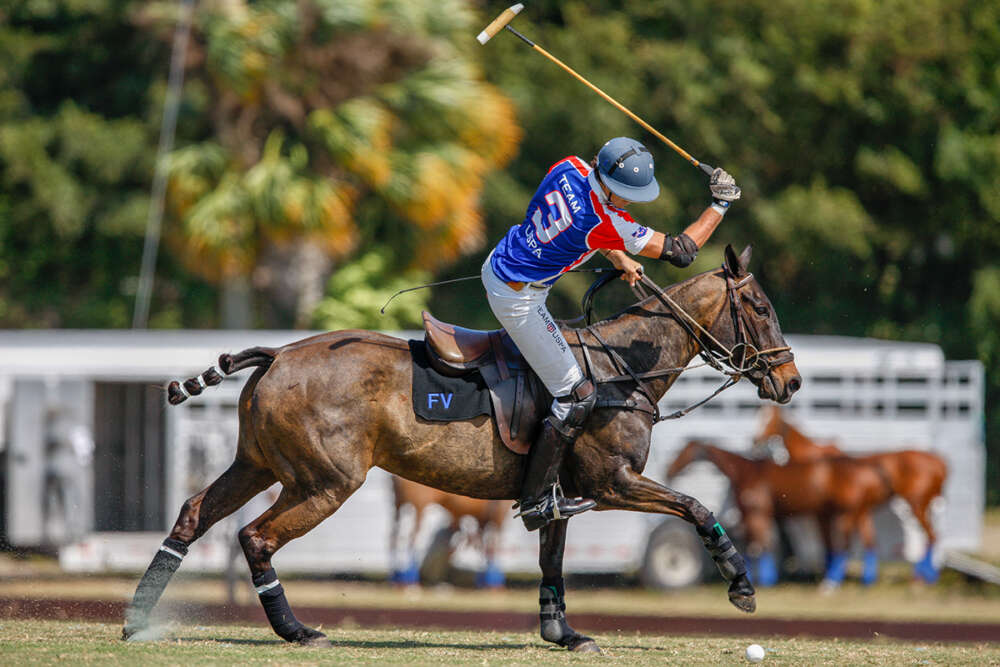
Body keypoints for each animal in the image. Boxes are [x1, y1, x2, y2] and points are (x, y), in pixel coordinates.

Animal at [664, 440, 892, 588]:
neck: (744, 471)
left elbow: (759, 545)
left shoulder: (757, 514)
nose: (669, 470)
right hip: (856, 512)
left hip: (846, 514)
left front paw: (760, 580)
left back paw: (831, 583)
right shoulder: (756, 516)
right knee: (868, 543)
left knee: (843, 546)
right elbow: (758, 545)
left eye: (683, 451)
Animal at [752, 404, 948, 580]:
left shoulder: (822, 513)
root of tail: (938, 461)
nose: (754, 439)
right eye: (758, 416)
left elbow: (828, 544)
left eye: (769, 418)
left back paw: (922, 577)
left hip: (916, 504)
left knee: (931, 536)